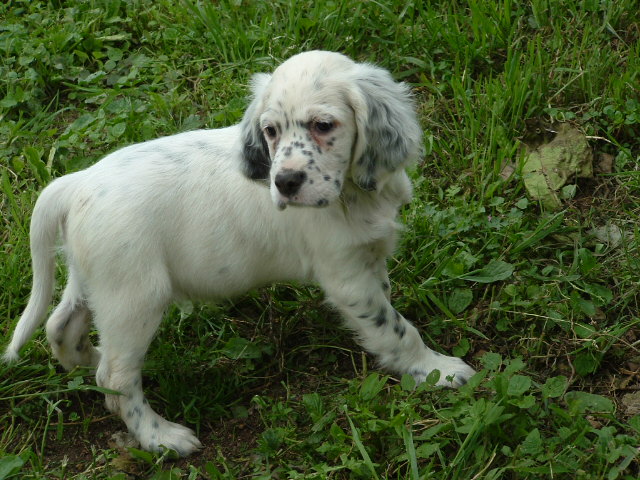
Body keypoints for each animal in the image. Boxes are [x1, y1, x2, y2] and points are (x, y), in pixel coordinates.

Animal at [3, 50, 476, 456]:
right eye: (271, 131)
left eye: (323, 125)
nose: (284, 183)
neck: (352, 194)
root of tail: (78, 181)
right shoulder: (348, 278)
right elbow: (396, 327)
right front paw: (437, 369)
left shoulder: (369, 258)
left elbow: (388, 308)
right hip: (135, 295)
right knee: (116, 377)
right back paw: (161, 437)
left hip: (94, 279)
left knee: (61, 328)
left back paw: (91, 360)